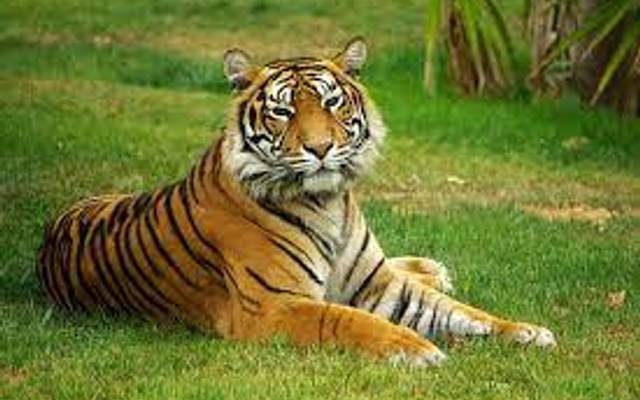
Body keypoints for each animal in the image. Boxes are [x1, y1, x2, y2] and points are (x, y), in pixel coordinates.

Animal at [37, 37, 556, 366]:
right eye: (283, 111)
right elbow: (346, 320)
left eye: (331, 103)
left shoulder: (380, 284)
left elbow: (463, 312)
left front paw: (526, 331)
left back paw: (434, 268)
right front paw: (415, 349)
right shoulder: (273, 306)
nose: (321, 148)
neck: (330, 204)